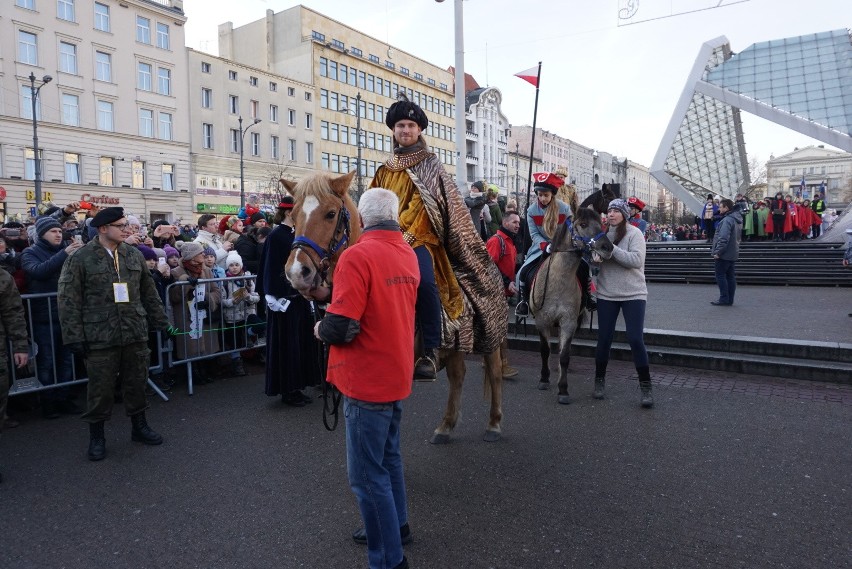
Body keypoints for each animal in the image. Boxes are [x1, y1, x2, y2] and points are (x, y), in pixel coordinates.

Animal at [280, 171, 506, 442]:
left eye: (331, 214)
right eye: (294, 215)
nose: (297, 272)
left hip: (490, 334)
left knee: (494, 372)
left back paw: (494, 423)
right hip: (457, 339)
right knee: (457, 375)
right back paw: (446, 426)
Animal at [532, 207, 612, 404]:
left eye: (602, 224)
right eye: (582, 224)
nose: (608, 248)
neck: (558, 281)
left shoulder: (568, 322)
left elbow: (564, 356)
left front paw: (563, 389)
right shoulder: (541, 321)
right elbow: (545, 350)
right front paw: (544, 379)